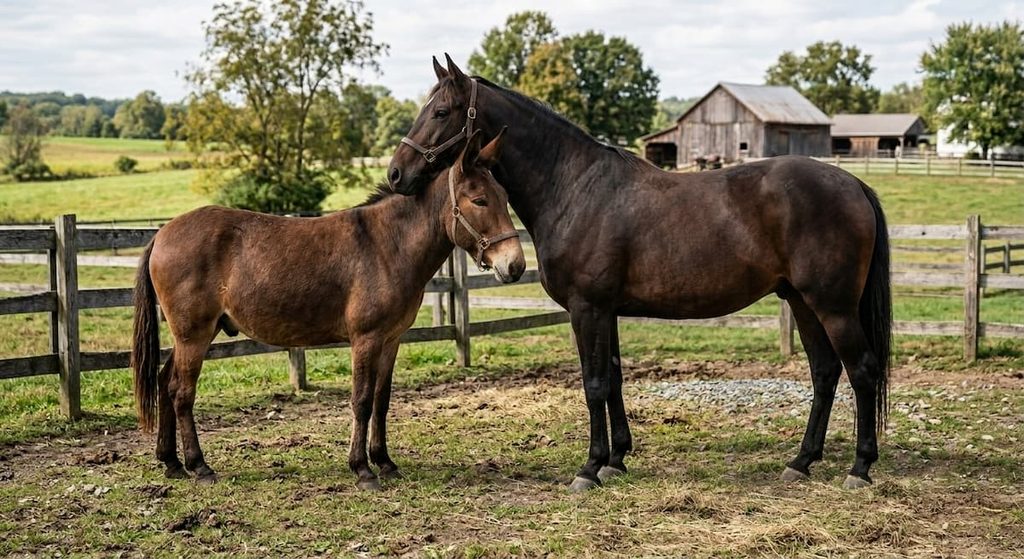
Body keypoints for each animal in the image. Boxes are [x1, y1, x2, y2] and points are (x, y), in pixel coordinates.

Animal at [131, 129, 525, 490]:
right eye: (479, 200)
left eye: (505, 197)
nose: (516, 266)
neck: (389, 244)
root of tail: (162, 233)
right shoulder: (365, 340)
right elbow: (362, 400)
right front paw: (362, 469)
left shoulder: (392, 340)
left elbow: (382, 400)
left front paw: (384, 461)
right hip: (193, 335)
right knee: (182, 392)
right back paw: (198, 466)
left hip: (196, 333)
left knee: (165, 382)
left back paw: (170, 462)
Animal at [386, 55, 892, 492]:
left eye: (441, 111)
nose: (395, 174)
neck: (575, 188)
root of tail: (853, 184)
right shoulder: (606, 310)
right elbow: (613, 380)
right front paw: (616, 460)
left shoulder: (587, 309)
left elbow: (592, 384)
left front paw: (589, 468)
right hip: (803, 302)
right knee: (825, 372)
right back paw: (801, 461)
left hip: (833, 306)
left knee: (862, 370)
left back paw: (860, 467)